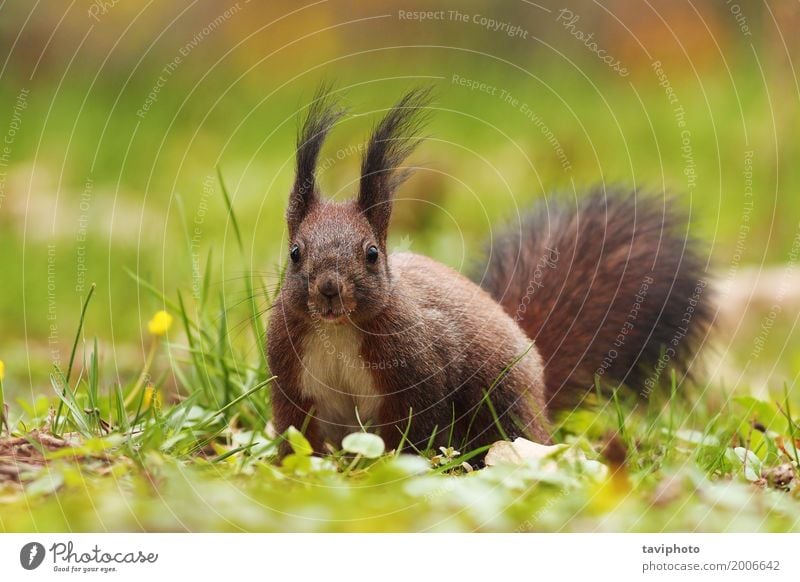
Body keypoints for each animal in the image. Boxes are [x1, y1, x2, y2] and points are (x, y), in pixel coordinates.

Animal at [268, 88, 712, 460]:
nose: (329, 289)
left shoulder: (418, 370)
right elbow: (297, 431)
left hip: (500, 402)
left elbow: (414, 429)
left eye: (372, 253)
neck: (339, 330)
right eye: (295, 253)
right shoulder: (291, 376)